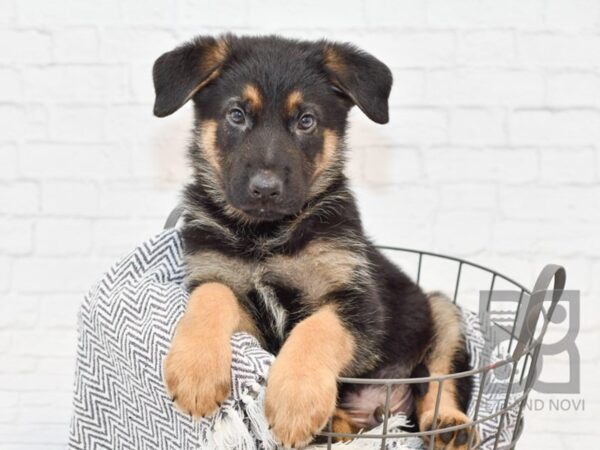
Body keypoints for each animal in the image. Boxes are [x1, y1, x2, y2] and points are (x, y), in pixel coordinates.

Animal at [155, 36, 478, 450]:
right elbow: (213, 294)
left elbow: (317, 328)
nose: (265, 189)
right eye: (236, 115)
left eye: (305, 121)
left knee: (441, 379)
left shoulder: (361, 306)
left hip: (441, 311)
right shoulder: (230, 294)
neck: (266, 235)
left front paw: (295, 399)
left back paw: (449, 424)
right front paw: (195, 370)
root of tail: (382, 411)